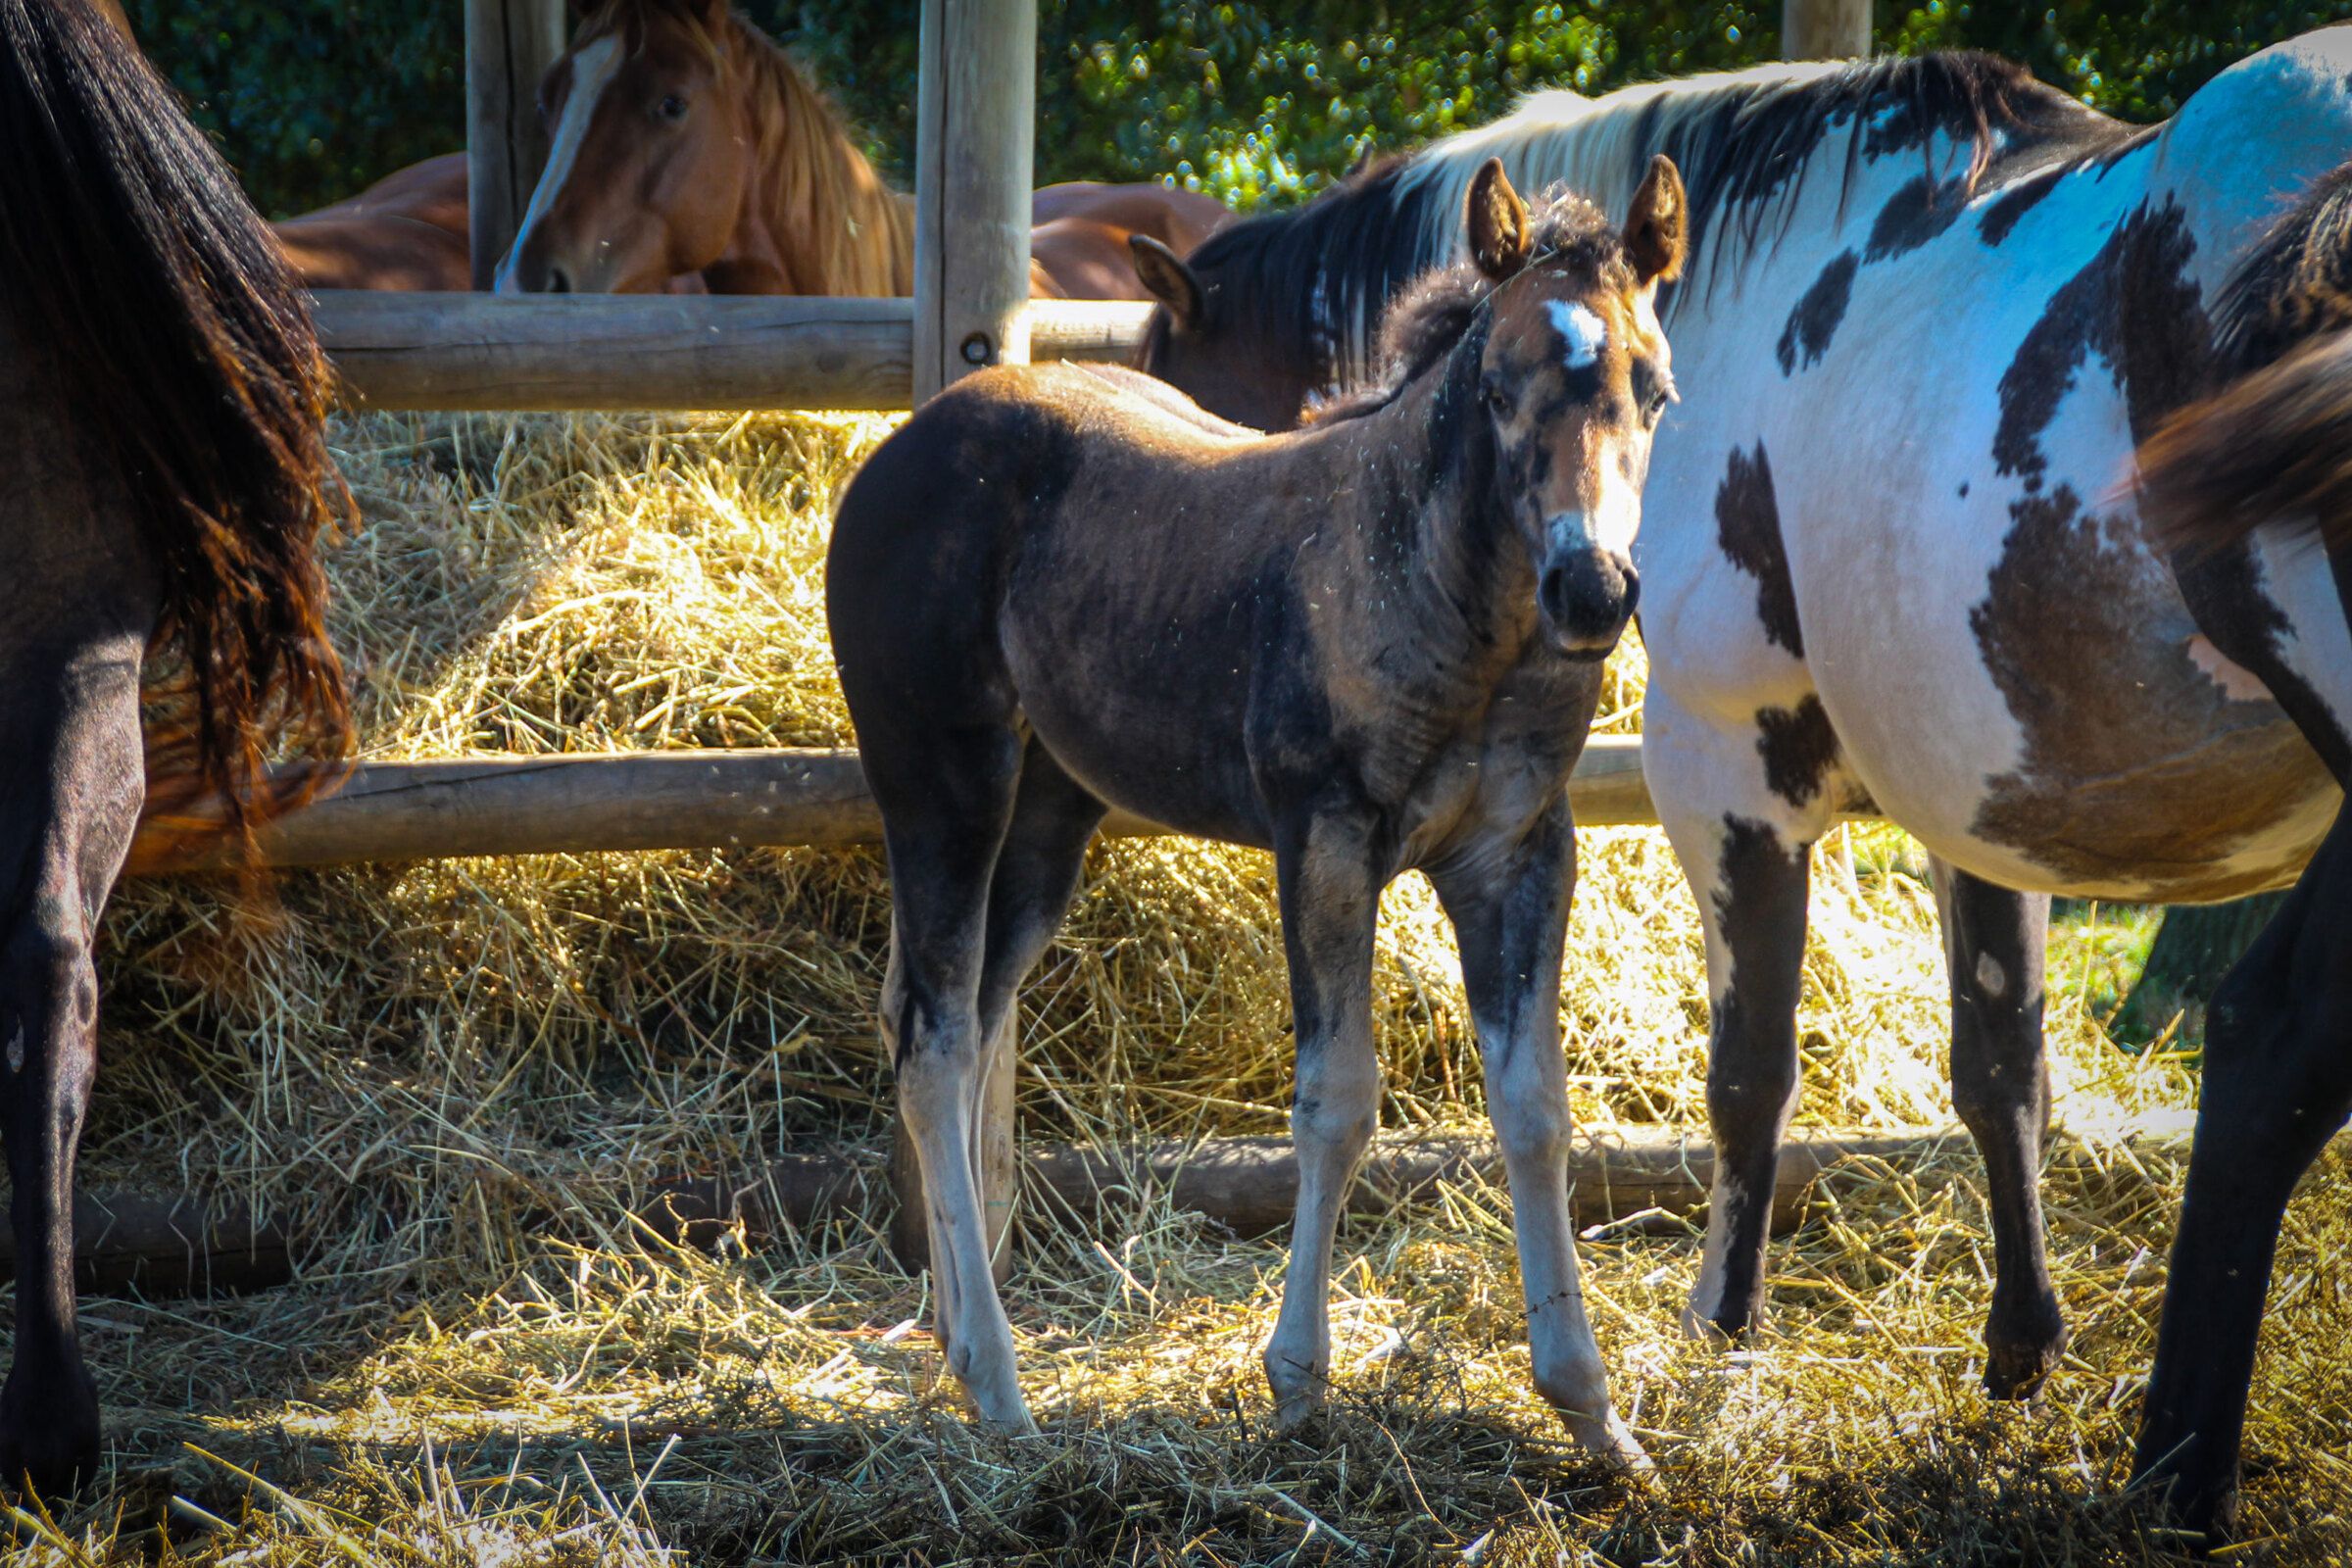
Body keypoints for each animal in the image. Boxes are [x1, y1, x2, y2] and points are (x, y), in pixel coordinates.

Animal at [825, 156, 1688, 1460]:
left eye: (1656, 393)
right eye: (1497, 388)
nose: (1590, 587)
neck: (1443, 597)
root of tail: (899, 449)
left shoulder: (1521, 852)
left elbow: (1537, 1108)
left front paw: (1593, 1414)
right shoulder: (1324, 841)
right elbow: (1337, 1101)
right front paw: (1296, 1384)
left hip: (1049, 813)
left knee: (958, 1017)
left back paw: (956, 1337)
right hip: (942, 781)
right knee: (932, 1041)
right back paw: (1000, 1388)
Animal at [1126, 36, 2352, 1454]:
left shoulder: (1725, 771)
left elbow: (1749, 1075)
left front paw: (1720, 1326)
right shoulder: (1975, 790)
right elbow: (2003, 1069)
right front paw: (2020, 1344)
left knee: (2272, 1048)